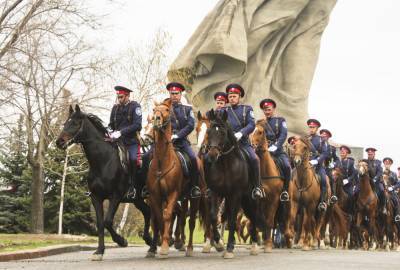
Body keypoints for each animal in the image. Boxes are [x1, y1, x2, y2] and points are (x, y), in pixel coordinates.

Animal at [55, 104, 151, 260]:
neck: (103, 161)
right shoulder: (96, 197)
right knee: (148, 212)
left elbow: (107, 221)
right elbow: (100, 224)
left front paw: (121, 240)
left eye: (75, 123)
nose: (59, 142)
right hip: (137, 199)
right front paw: (99, 251)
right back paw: (150, 240)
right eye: (65, 123)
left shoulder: (115, 196)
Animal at [145, 98, 205, 258]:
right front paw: (160, 244)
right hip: (183, 198)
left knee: (190, 222)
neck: (162, 161)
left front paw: (165, 245)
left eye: (166, 110)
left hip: (195, 198)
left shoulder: (172, 194)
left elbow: (167, 216)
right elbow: (159, 218)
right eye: (154, 110)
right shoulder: (155, 195)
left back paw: (189, 248)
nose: (156, 119)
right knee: (182, 217)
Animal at [205, 110, 264, 260]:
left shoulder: (235, 194)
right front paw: (219, 243)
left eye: (222, 132)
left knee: (253, 217)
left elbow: (232, 220)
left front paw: (230, 248)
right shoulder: (216, 192)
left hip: (249, 200)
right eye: (209, 131)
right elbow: (213, 216)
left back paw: (254, 245)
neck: (225, 164)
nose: (212, 155)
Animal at [250, 119, 288, 251]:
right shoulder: (258, 199)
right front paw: (257, 243)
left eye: (260, 132)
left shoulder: (274, 200)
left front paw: (268, 245)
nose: (252, 145)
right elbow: (257, 221)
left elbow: (270, 221)